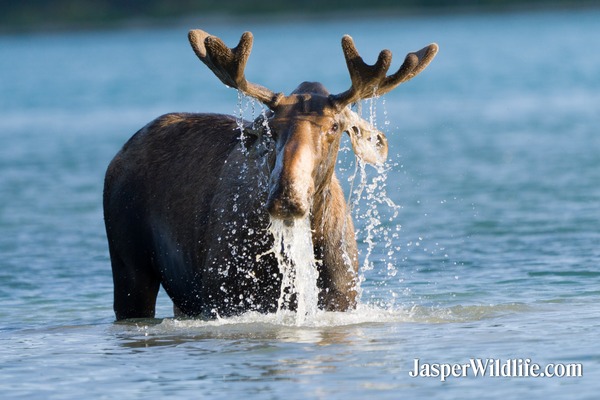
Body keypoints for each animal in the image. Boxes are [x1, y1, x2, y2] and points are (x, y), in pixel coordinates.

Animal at [103, 28, 438, 320]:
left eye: (334, 126)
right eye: (271, 128)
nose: (287, 197)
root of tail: (119, 154)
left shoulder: (341, 299)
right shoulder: (224, 298)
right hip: (129, 266)